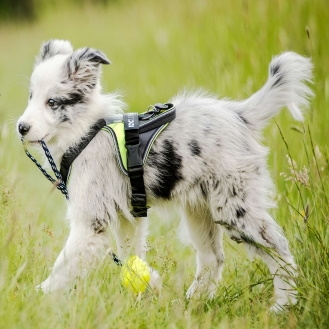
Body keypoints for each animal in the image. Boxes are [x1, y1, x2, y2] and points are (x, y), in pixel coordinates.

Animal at [17, 39, 312, 310]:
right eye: (30, 96)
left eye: (52, 102)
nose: (21, 127)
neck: (85, 133)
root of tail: (239, 115)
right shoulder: (127, 218)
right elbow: (131, 257)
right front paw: (145, 291)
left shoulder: (91, 223)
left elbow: (63, 266)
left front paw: (35, 297)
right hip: (199, 212)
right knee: (212, 258)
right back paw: (192, 303)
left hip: (235, 209)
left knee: (280, 249)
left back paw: (284, 304)